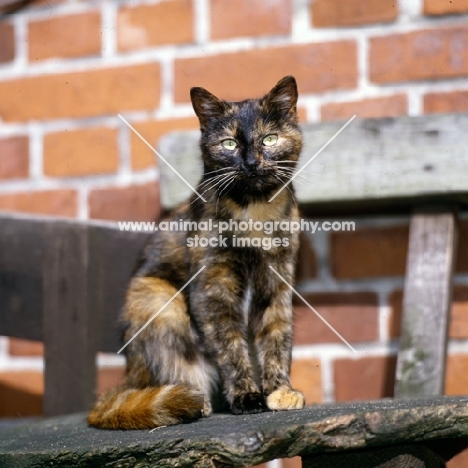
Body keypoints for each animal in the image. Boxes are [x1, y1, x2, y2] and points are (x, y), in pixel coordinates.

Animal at [88, 77, 306, 432]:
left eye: (270, 139)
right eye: (229, 144)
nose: (250, 164)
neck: (255, 210)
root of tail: (131, 376)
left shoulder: (277, 281)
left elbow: (278, 335)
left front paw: (280, 392)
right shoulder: (212, 289)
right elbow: (230, 346)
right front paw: (246, 396)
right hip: (157, 301)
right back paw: (192, 401)